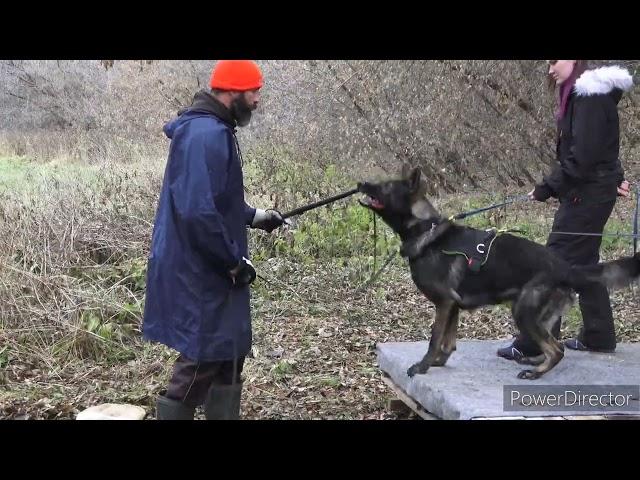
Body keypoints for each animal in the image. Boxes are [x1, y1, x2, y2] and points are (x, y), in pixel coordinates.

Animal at [358, 167, 640, 380]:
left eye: (385, 187)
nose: (360, 182)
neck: (425, 230)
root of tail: (565, 268)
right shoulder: (452, 306)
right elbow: (448, 342)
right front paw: (439, 362)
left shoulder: (444, 303)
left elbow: (434, 340)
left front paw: (423, 366)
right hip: (539, 316)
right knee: (552, 345)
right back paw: (535, 361)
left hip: (523, 312)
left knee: (557, 349)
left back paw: (535, 373)